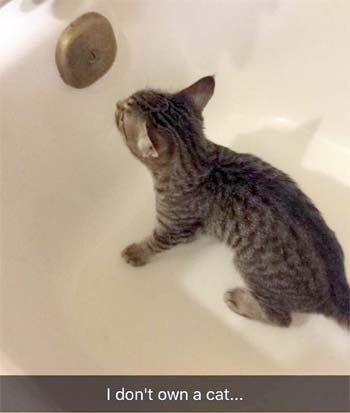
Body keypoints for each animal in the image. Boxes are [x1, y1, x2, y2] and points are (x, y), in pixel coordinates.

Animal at [115, 75, 350, 328]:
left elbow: (155, 242)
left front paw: (137, 252)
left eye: (122, 116)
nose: (116, 104)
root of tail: (334, 294)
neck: (199, 159)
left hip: (248, 268)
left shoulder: (177, 229)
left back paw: (241, 302)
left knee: (281, 319)